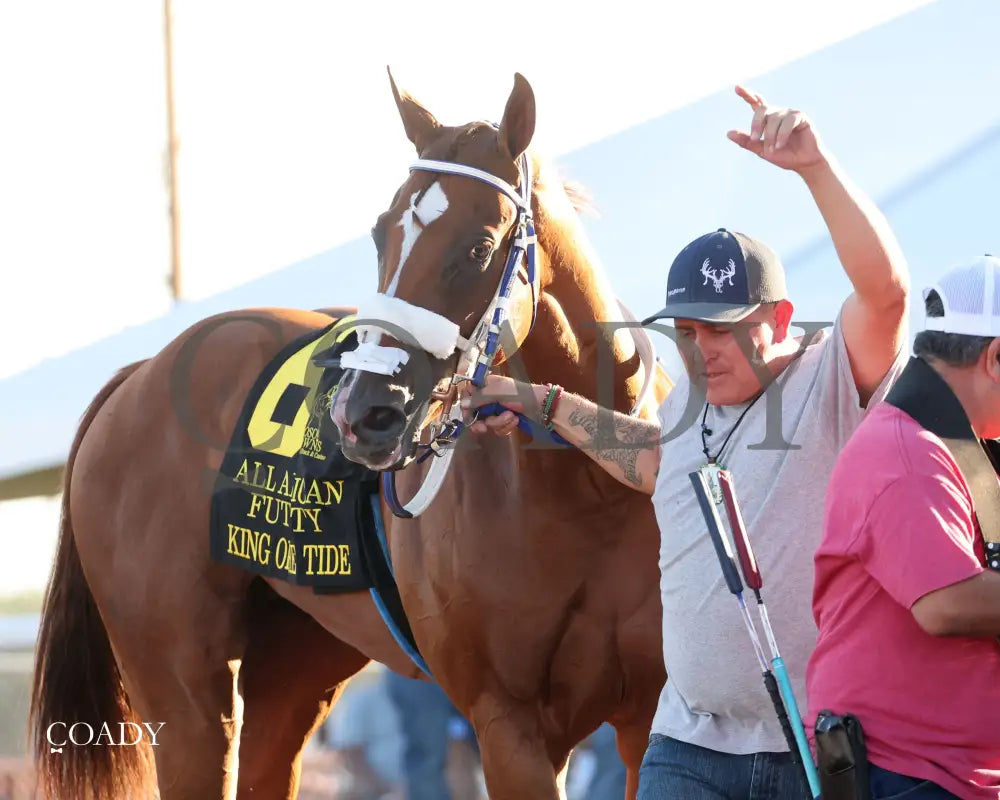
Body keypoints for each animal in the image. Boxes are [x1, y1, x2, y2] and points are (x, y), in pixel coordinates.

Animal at [28, 70, 673, 800]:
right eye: (380, 233)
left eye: (478, 247)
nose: (366, 413)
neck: (589, 486)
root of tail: (139, 373)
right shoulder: (507, 724)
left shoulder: (645, 718)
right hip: (179, 685)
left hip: (292, 670)